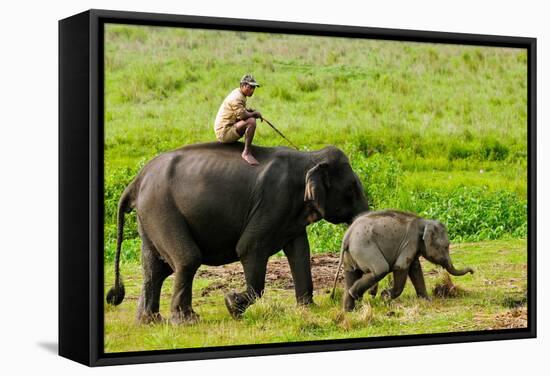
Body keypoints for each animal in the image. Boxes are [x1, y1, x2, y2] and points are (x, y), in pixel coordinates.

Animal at [106, 141, 370, 324]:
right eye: (351, 189)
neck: (309, 157)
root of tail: (136, 180)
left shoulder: (290, 216)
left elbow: (300, 252)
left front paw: (308, 309)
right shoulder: (273, 202)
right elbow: (249, 248)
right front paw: (231, 305)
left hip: (150, 216)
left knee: (155, 269)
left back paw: (149, 322)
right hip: (161, 209)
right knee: (187, 260)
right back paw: (187, 322)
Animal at [330, 209, 476, 312]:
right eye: (446, 246)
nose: (472, 271)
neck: (423, 221)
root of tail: (347, 236)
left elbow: (416, 270)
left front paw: (427, 301)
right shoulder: (410, 242)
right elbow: (400, 267)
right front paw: (385, 296)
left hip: (350, 255)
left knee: (351, 275)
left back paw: (349, 310)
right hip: (363, 247)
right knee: (380, 269)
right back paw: (357, 295)